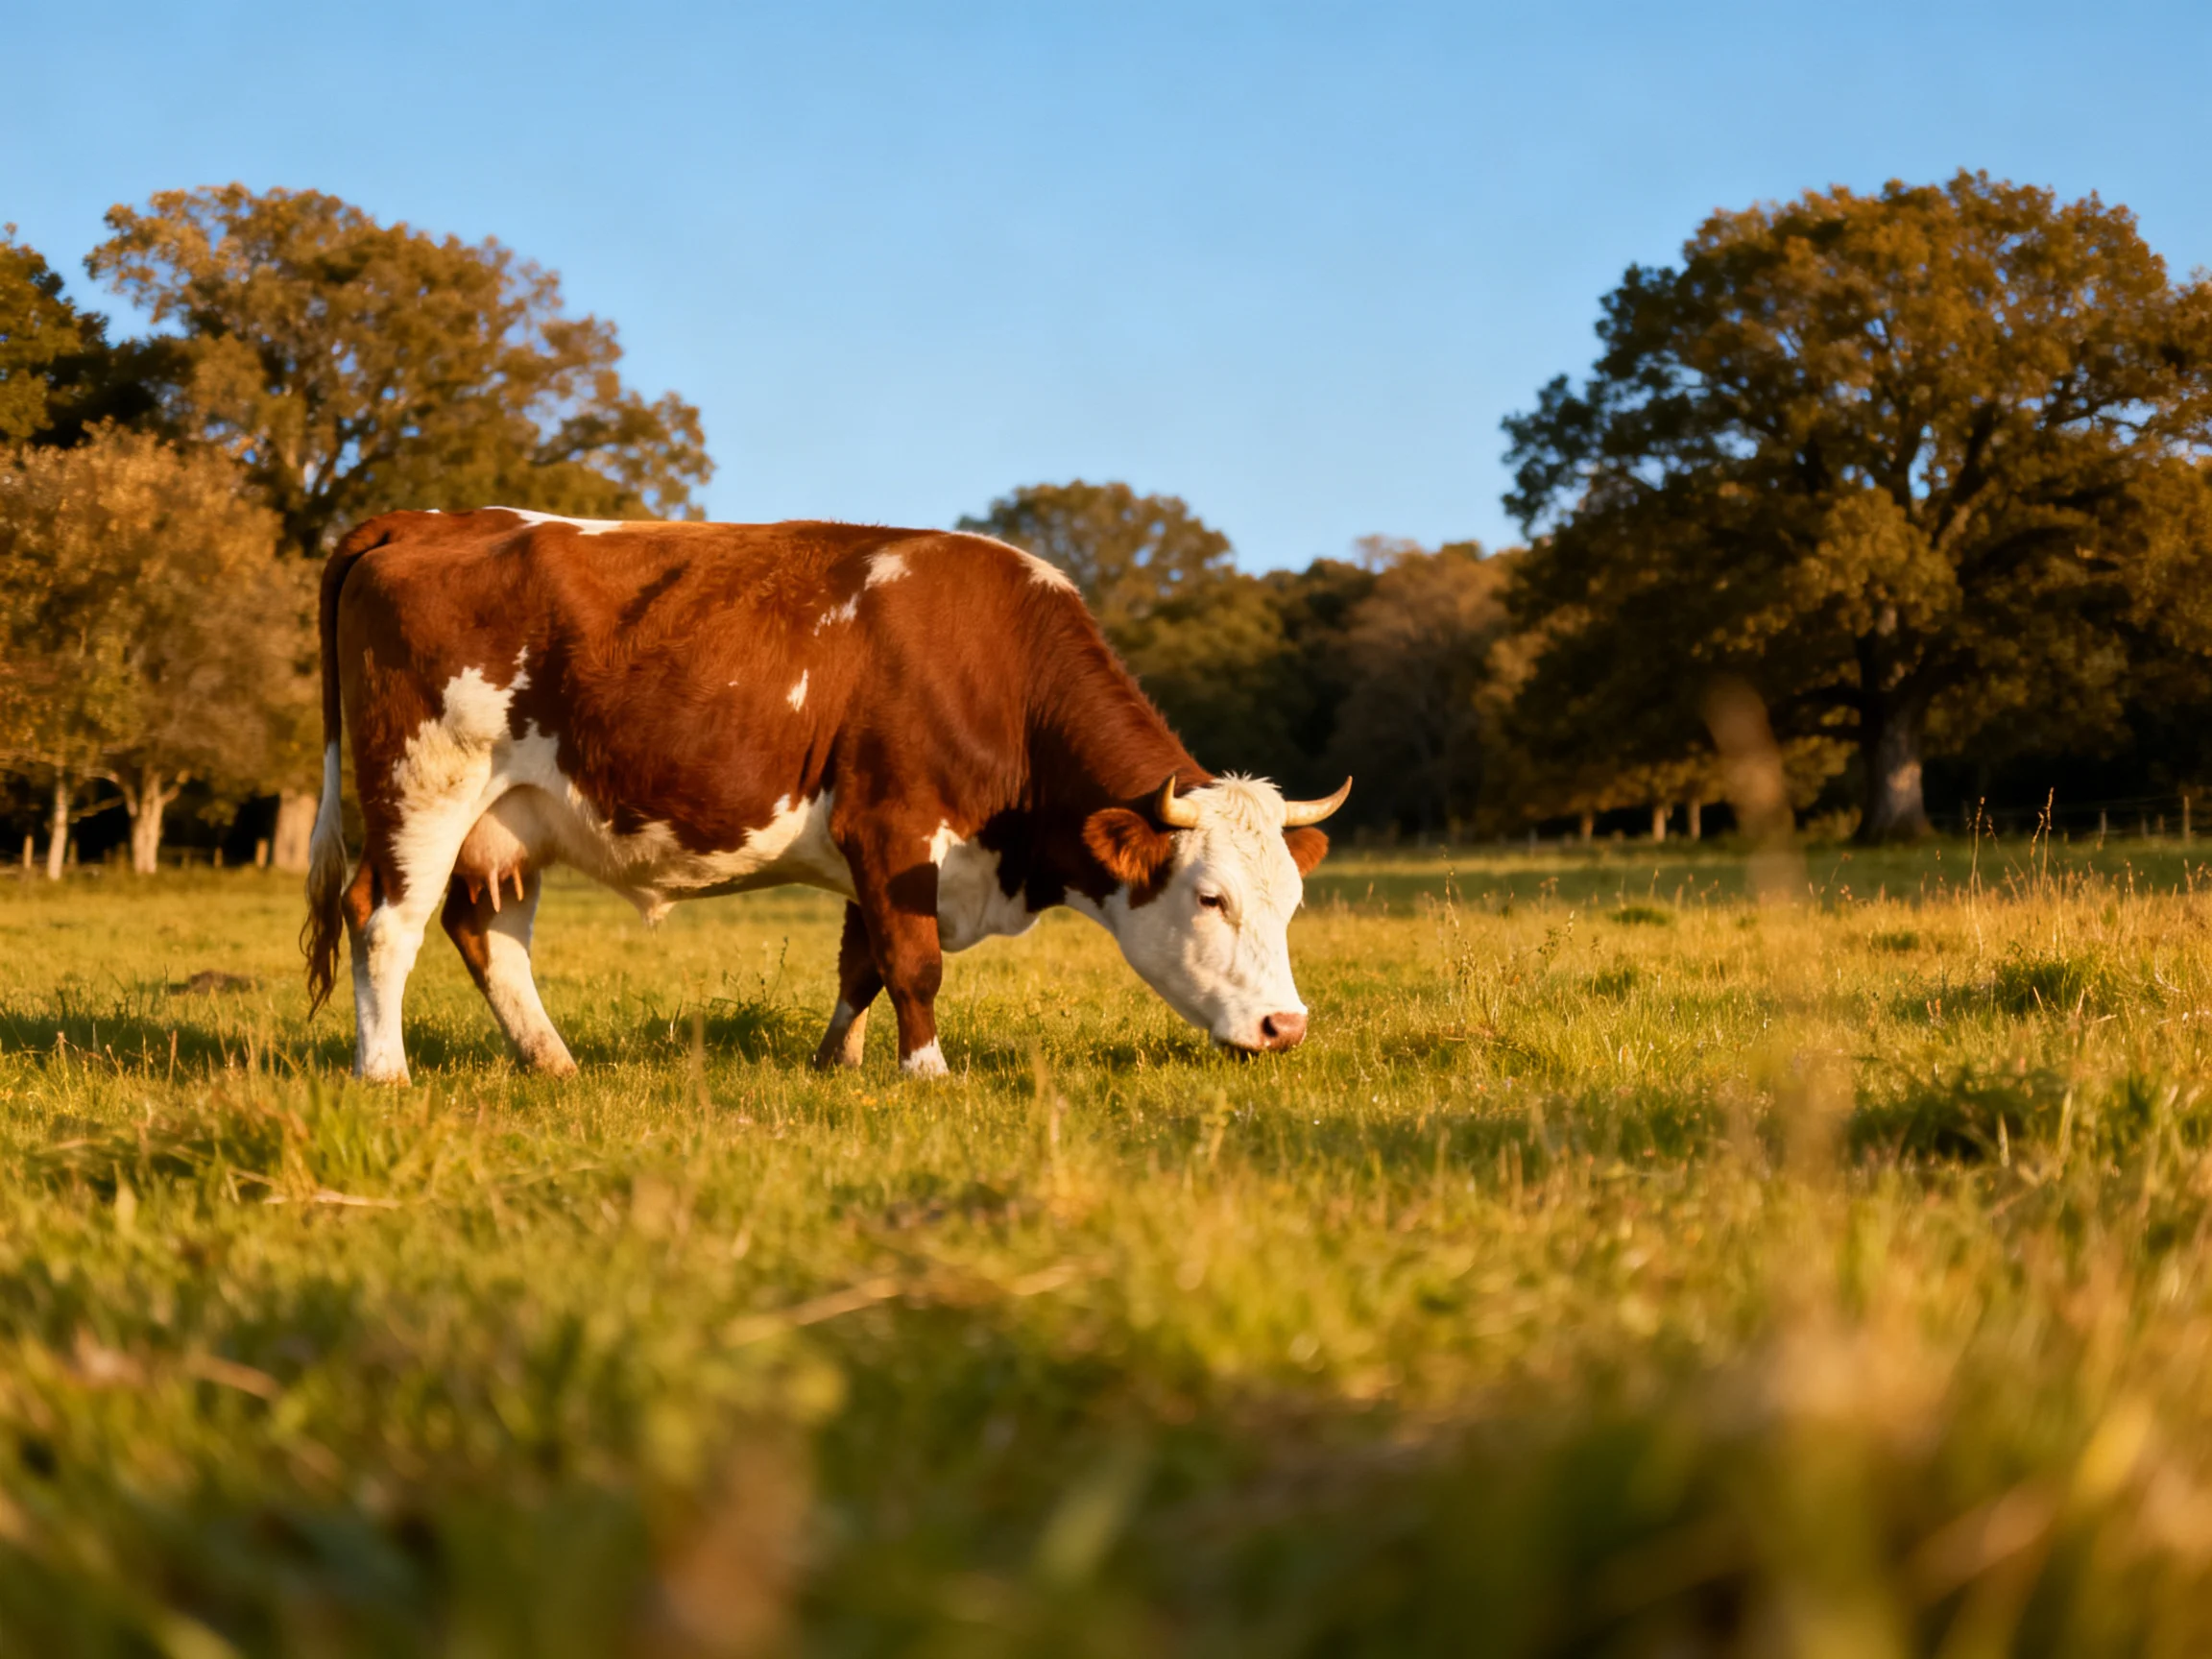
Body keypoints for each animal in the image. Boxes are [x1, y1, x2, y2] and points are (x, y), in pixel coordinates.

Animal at [301, 508, 1349, 1082]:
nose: (1286, 1028)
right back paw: (384, 1071)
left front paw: (834, 1064)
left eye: (1292, 904)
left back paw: (552, 1062)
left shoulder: (876, 855)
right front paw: (927, 1072)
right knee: (383, 920)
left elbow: (862, 965)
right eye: (1210, 898)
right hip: (423, 788)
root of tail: (429, 521)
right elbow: (914, 963)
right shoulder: (891, 826)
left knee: (489, 934)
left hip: (507, 821)